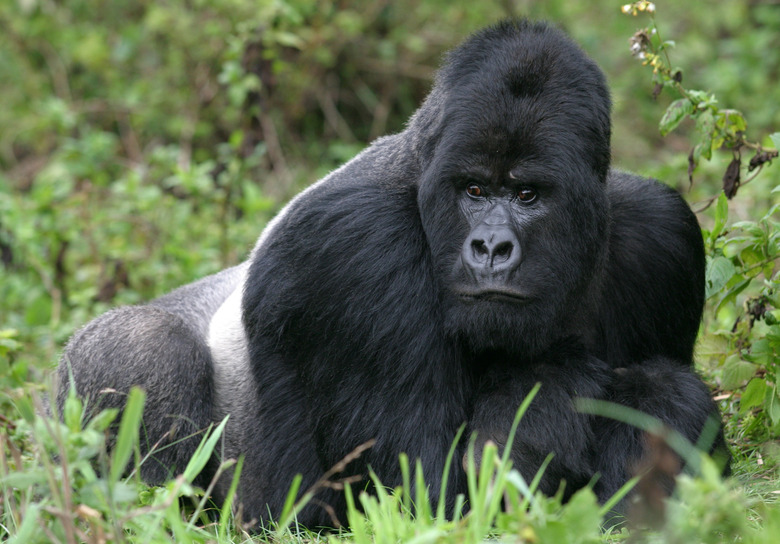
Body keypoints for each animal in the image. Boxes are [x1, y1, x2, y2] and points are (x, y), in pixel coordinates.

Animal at [58, 20, 728, 528]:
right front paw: (549, 387)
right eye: (474, 190)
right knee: (145, 347)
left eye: (528, 194)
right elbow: (425, 494)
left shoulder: (661, 234)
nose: (491, 247)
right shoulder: (356, 249)